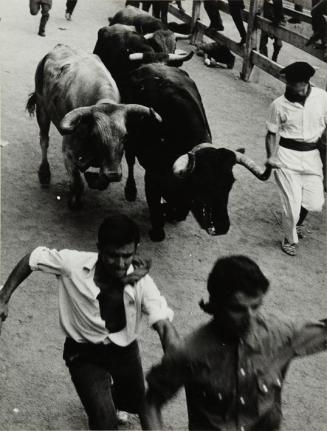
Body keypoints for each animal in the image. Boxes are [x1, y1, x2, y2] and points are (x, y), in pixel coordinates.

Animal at [26, 43, 162, 209]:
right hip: (42, 109)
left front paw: (92, 178)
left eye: (124, 138)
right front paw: (74, 200)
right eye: (96, 136)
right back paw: (44, 173)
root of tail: (59, 46)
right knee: (44, 140)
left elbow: (102, 181)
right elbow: (78, 183)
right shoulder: (68, 151)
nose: (114, 174)